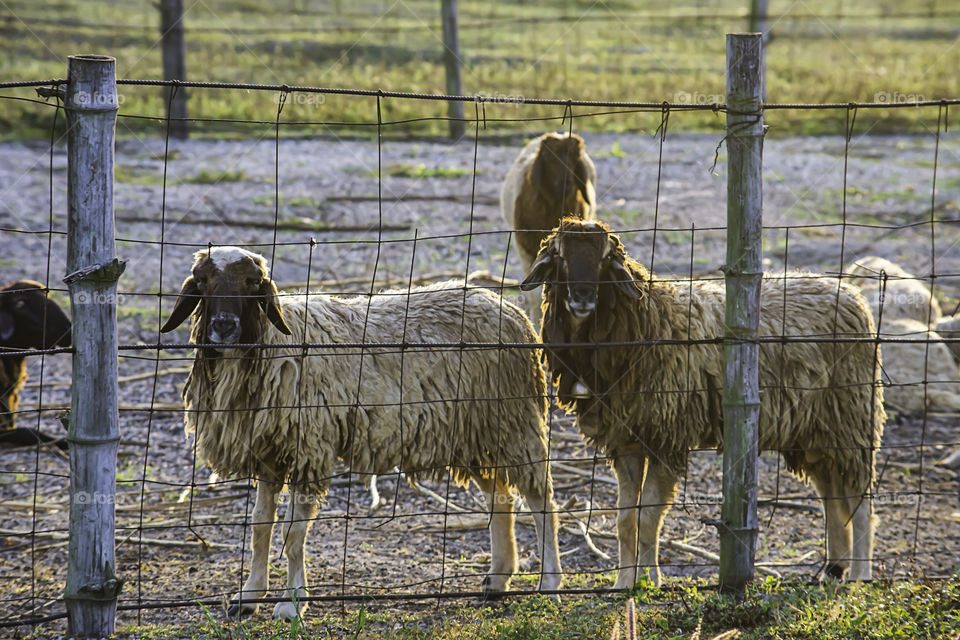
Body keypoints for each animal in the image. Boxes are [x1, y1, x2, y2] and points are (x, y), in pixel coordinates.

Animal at [158, 246, 564, 620]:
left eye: (252, 282)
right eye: (203, 281)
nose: (224, 326)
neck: (276, 344)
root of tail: (508, 309)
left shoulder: (309, 448)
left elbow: (292, 534)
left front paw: (292, 604)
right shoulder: (270, 452)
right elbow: (260, 527)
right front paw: (249, 595)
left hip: (513, 420)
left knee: (541, 498)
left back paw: (550, 582)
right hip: (475, 431)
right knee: (501, 498)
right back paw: (497, 579)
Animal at [520, 220, 880, 592]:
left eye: (606, 258)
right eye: (560, 256)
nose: (581, 297)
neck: (649, 322)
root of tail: (852, 296)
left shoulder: (667, 437)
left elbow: (648, 517)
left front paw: (650, 580)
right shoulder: (627, 440)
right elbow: (625, 519)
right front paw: (623, 584)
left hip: (851, 417)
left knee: (861, 502)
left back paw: (861, 575)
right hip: (814, 431)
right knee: (833, 495)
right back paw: (833, 569)